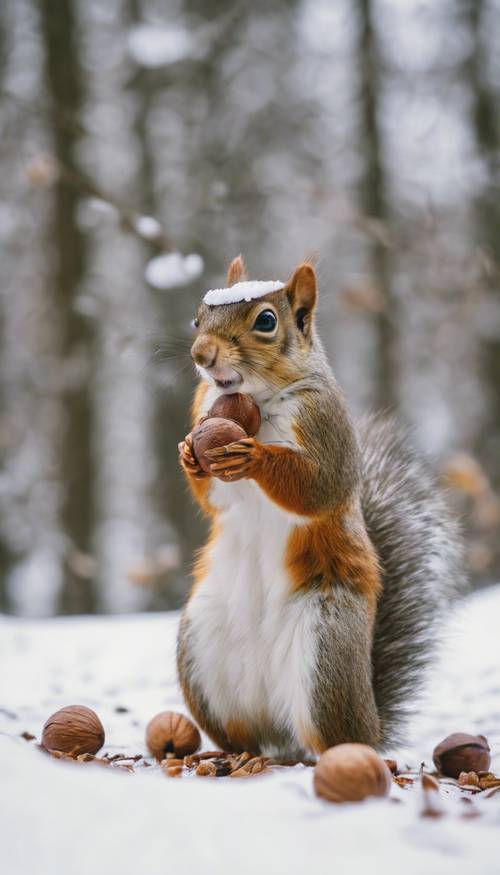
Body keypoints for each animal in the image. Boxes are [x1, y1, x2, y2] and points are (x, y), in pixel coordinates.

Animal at [177, 255, 464, 760]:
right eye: (197, 319)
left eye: (266, 321)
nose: (202, 355)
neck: (255, 401)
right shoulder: (203, 410)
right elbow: (214, 498)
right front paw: (190, 455)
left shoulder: (324, 422)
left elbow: (318, 488)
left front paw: (257, 458)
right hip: (201, 651)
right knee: (242, 733)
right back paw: (231, 754)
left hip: (325, 651)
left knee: (335, 736)